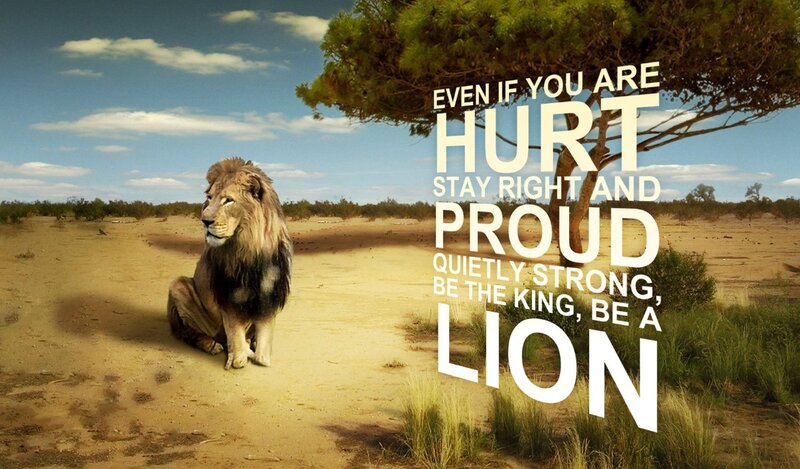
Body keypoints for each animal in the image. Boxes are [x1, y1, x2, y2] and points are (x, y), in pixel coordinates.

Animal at [167, 157, 292, 369]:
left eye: (228, 200)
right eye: (209, 198)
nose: (204, 221)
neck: (251, 249)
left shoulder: (269, 293)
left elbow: (263, 351)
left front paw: (259, 353)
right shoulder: (229, 295)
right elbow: (236, 339)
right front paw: (239, 357)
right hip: (179, 285)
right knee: (188, 333)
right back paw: (212, 345)